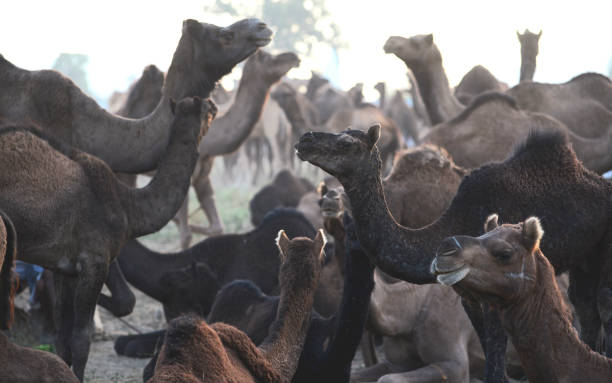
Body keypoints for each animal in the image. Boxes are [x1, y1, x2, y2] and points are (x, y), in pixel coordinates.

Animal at [0, 97, 216, 380]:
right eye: (205, 109)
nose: (215, 106)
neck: (127, 206)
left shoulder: (64, 268)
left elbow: (63, 338)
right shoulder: (95, 260)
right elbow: (81, 339)